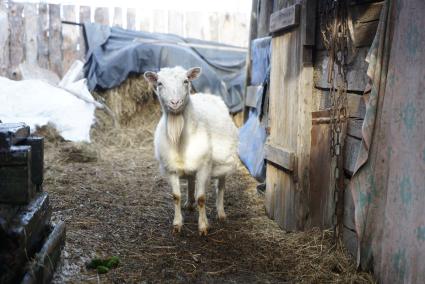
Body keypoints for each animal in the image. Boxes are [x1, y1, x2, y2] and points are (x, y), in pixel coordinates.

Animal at [145, 66, 238, 235]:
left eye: (186, 81)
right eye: (160, 83)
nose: (175, 102)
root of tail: (206, 94)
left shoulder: (204, 166)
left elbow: (202, 198)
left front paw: (203, 226)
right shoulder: (172, 168)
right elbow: (176, 196)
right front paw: (177, 224)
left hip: (224, 159)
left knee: (220, 186)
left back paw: (221, 212)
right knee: (190, 180)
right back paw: (189, 203)